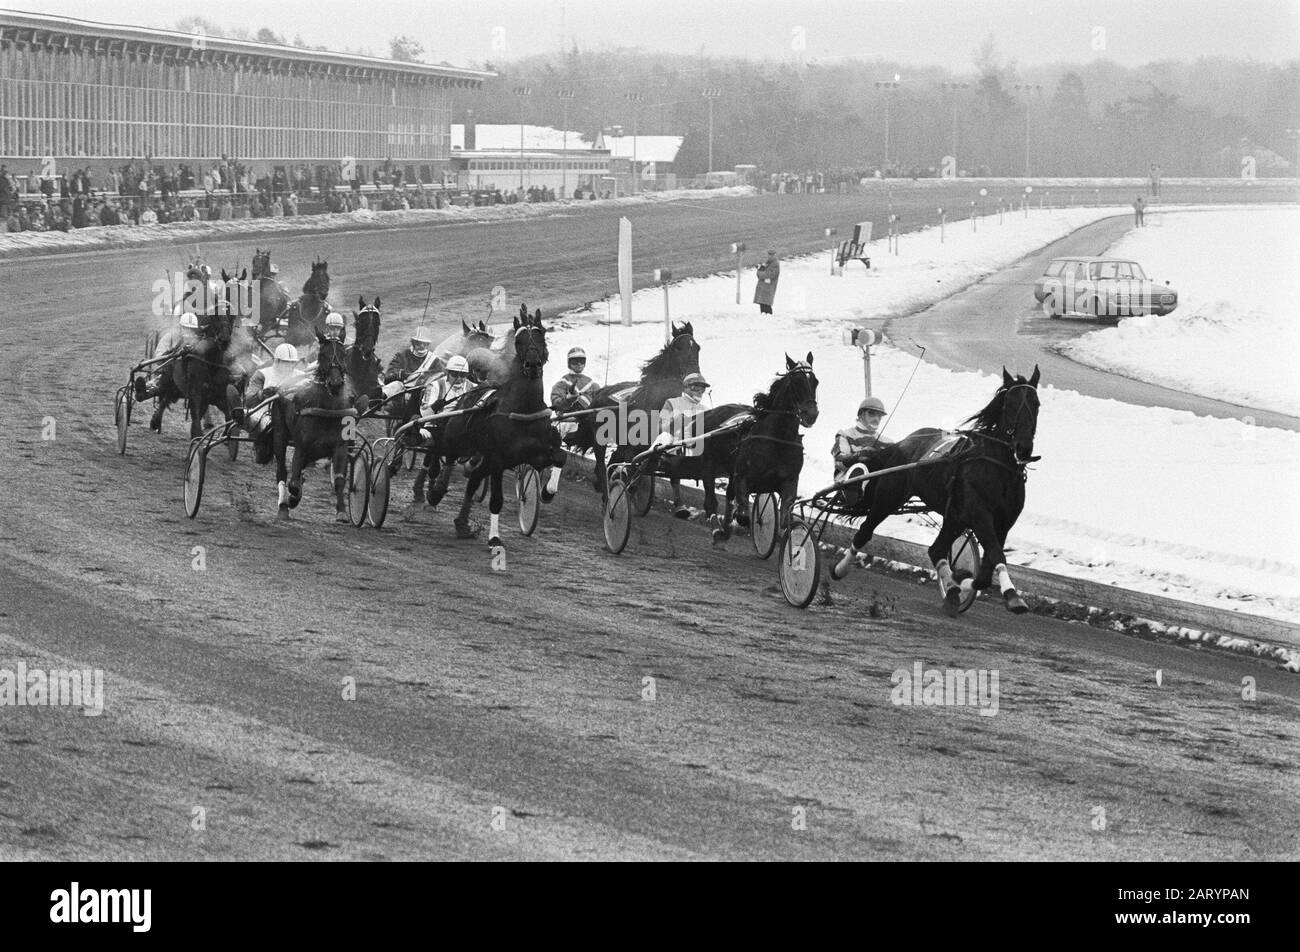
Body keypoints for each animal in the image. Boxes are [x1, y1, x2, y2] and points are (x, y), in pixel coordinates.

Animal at [269, 332, 361, 528]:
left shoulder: (340, 446)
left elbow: (339, 480)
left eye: (343, 354)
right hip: (279, 434)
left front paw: (342, 512)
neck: (325, 410)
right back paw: (283, 506)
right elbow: (293, 482)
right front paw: (293, 498)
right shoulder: (301, 447)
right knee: (282, 470)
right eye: (323, 354)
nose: (335, 383)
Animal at [428, 310, 566, 551]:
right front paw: (494, 538)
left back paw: (462, 523)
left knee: (473, 480)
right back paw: (435, 490)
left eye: (541, 338)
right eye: (519, 342)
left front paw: (547, 492)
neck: (523, 408)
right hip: (457, 439)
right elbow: (496, 500)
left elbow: (560, 456)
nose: (532, 365)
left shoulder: (536, 453)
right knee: (442, 452)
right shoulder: (498, 459)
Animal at [569, 323, 702, 494]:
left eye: (697, 347)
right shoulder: (633, 449)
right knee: (601, 467)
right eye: (678, 347)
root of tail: (599, 393)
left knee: (612, 461)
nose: (695, 380)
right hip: (600, 437)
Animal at [832, 364, 1045, 616]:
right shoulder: (980, 514)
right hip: (889, 498)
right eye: (1009, 404)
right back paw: (839, 569)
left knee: (936, 549)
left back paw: (952, 591)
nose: (1024, 447)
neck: (998, 466)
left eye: (1036, 404)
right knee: (865, 532)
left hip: (954, 516)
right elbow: (995, 554)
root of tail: (903, 442)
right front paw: (1012, 596)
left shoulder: (1003, 522)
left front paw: (961, 582)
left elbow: (985, 572)